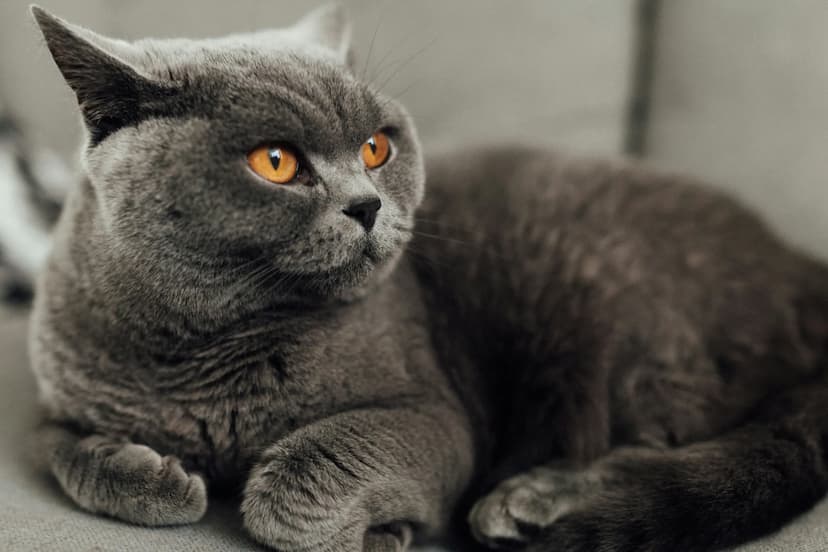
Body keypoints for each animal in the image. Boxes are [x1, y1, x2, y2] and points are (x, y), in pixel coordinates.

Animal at [24, 4, 828, 552]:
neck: (202, 349)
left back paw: (524, 502)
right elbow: (60, 449)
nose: (367, 204)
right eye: (276, 162)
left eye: (376, 148)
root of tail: (799, 265)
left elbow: (305, 475)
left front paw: (380, 532)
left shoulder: (436, 415)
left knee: (658, 446)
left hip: (618, 309)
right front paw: (149, 474)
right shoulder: (56, 395)